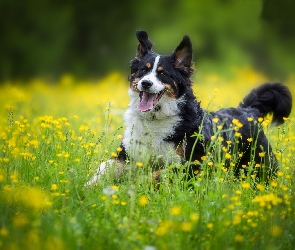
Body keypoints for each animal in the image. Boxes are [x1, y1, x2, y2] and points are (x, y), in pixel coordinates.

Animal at [86, 30, 294, 187]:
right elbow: (105, 167)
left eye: (163, 74)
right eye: (143, 70)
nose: (145, 83)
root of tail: (248, 111)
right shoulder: (127, 154)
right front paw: (89, 187)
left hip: (261, 166)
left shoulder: (191, 164)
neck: (156, 121)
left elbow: (156, 174)